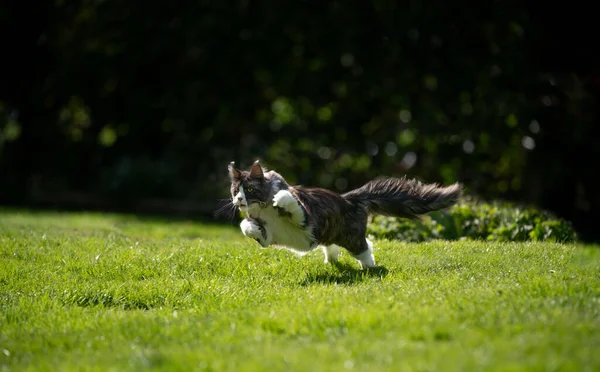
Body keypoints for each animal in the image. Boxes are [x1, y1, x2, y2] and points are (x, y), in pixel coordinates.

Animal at [227, 159, 462, 268]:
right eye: (235, 190)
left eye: (249, 190)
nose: (239, 200)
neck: (264, 209)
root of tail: (349, 198)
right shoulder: (268, 238)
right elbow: (246, 226)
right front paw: (252, 228)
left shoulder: (307, 217)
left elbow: (290, 201)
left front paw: (280, 199)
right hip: (333, 235)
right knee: (334, 246)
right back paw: (331, 261)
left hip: (352, 237)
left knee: (366, 247)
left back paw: (369, 268)